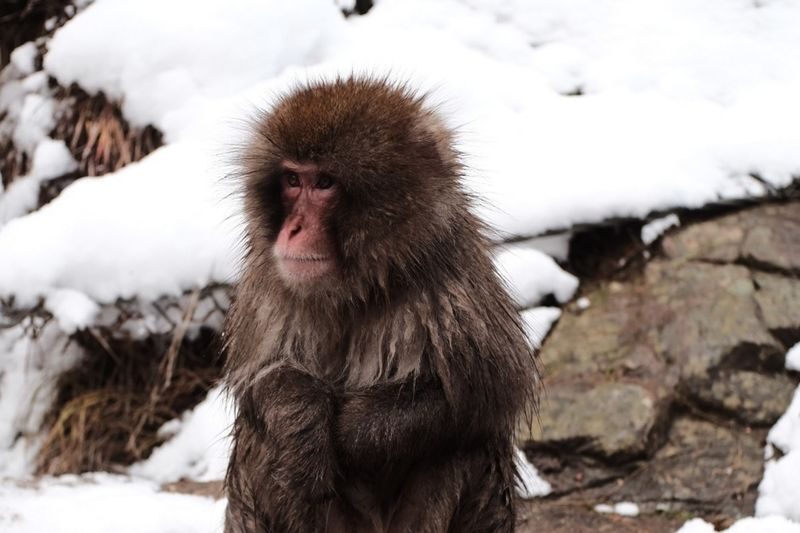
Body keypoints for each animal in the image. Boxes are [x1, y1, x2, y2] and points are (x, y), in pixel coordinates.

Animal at [223, 76, 538, 533]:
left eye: (324, 183)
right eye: (292, 179)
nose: (293, 228)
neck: (355, 287)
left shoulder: (452, 276)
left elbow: (489, 391)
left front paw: (347, 430)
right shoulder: (268, 279)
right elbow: (256, 382)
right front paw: (300, 417)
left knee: (465, 443)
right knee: (261, 441)